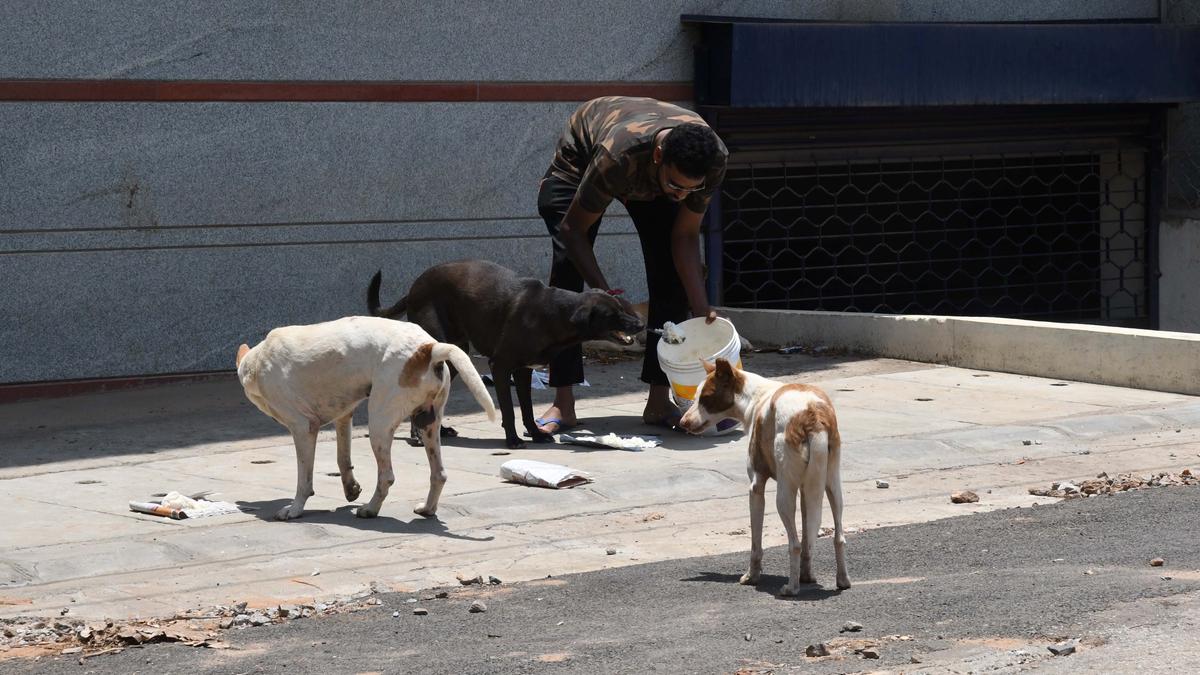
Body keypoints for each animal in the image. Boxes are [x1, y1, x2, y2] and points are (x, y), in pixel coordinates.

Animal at [234, 314, 496, 521]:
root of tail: (428, 348)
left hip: (379, 424)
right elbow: (343, 458)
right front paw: (350, 488)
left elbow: (304, 480)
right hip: (429, 426)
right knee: (439, 474)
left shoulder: (303, 427)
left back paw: (370, 509)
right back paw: (428, 508)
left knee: (387, 477)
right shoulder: (344, 416)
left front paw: (295, 509)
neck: (258, 361)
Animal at [367, 258, 643, 446]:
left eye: (622, 308)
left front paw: (535, 434)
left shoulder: (523, 371)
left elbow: (527, 409)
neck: (554, 313)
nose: (640, 324)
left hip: (456, 356)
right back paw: (417, 435)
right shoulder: (499, 366)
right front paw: (513, 439)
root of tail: (413, 289)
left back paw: (439, 431)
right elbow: (509, 410)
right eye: (613, 315)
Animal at [681, 357, 849, 588]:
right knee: (837, 537)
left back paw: (791, 588)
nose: (682, 423)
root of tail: (812, 414)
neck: (756, 398)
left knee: (794, 544)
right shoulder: (805, 490)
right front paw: (807, 576)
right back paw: (842, 580)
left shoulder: (756, 487)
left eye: (705, 398)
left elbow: (756, 544)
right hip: (832, 486)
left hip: (784, 495)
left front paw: (751, 576)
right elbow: (808, 538)